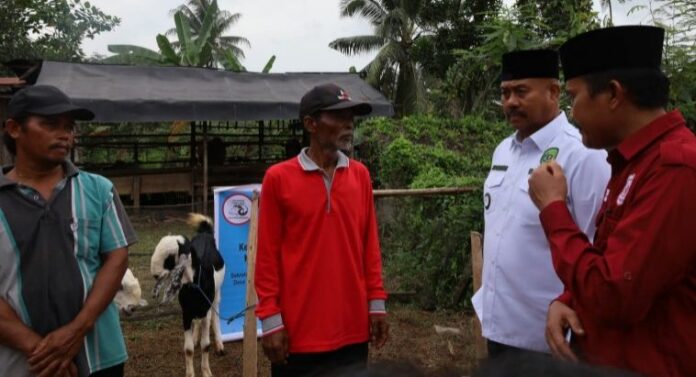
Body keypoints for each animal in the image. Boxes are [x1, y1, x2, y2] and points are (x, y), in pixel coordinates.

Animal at [150, 213, 224, 376]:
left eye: (170, 257)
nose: (155, 275)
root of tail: (205, 233)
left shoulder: (205, 310)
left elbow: (206, 345)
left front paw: (206, 372)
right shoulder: (186, 312)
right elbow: (189, 349)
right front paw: (190, 373)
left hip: (216, 295)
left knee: (215, 315)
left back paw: (220, 345)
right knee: (197, 323)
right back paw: (196, 337)